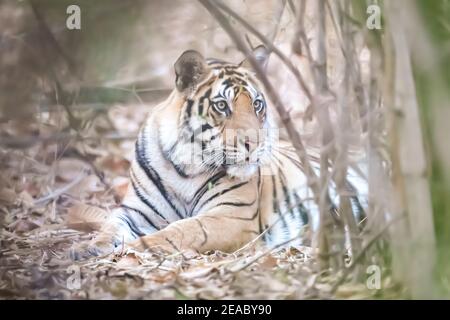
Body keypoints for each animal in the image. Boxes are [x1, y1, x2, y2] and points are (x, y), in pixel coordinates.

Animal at [70, 45, 366, 260]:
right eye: (222, 105)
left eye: (257, 104)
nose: (254, 143)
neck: (184, 167)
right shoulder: (136, 211)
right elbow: (111, 224)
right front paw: (87, 247)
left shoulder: (231, 216)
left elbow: (181, 230)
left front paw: (137, 247)